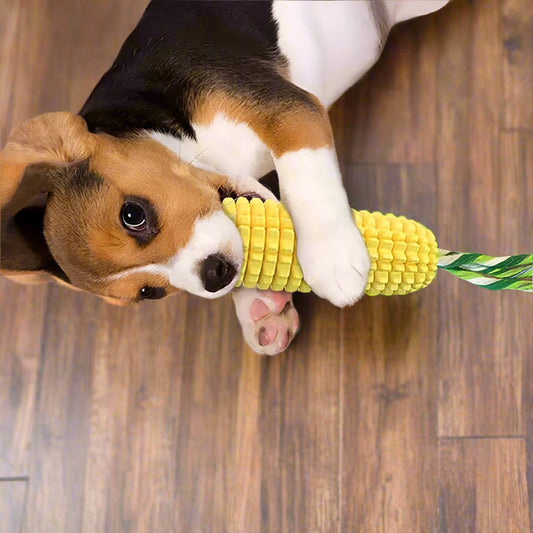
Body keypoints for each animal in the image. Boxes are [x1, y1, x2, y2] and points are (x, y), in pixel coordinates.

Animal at [0, 2, 448, 356]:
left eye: (133, 214)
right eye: (149, 293)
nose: (214, 275)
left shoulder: (290, 110)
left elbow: (306, 178)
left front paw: (331, 257)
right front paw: (260, 309)